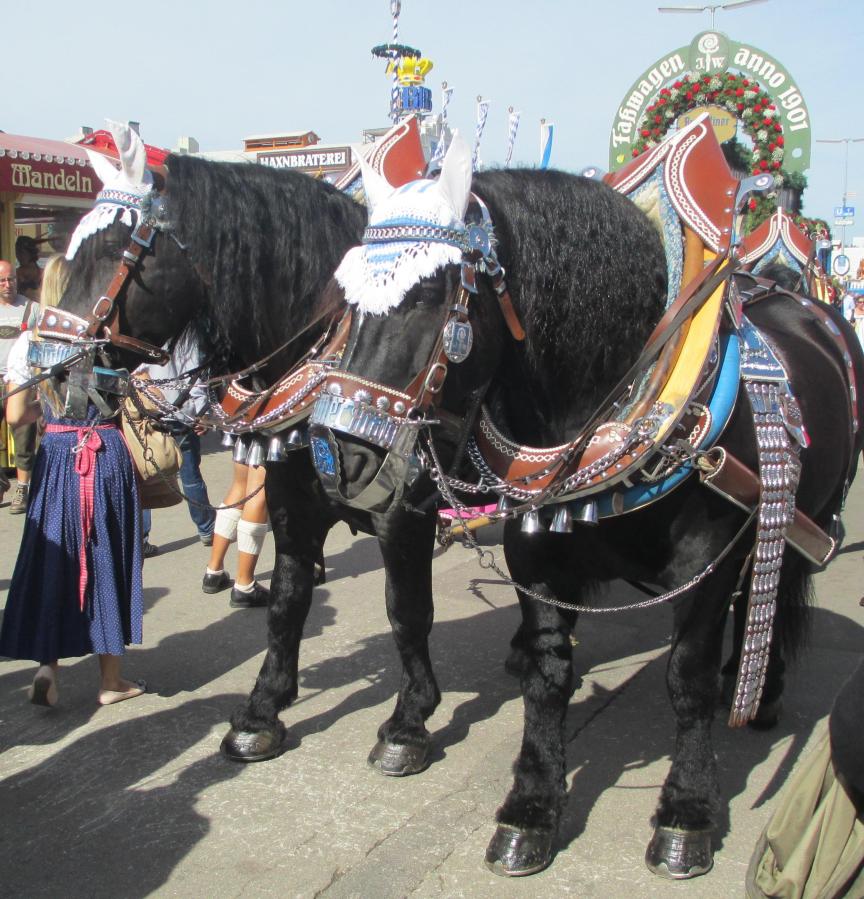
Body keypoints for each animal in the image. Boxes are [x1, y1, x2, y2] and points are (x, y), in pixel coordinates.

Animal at [305, 133, 864, 878]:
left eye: (426, 292)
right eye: (347, 298)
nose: (334, 457)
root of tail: (801, 302)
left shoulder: (706, 564)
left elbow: (687, 682)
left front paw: (686, 813)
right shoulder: (538, 557)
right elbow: (547, 677)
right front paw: (530, 807)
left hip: (809, 513)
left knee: (779, 583)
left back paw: (762, 690)